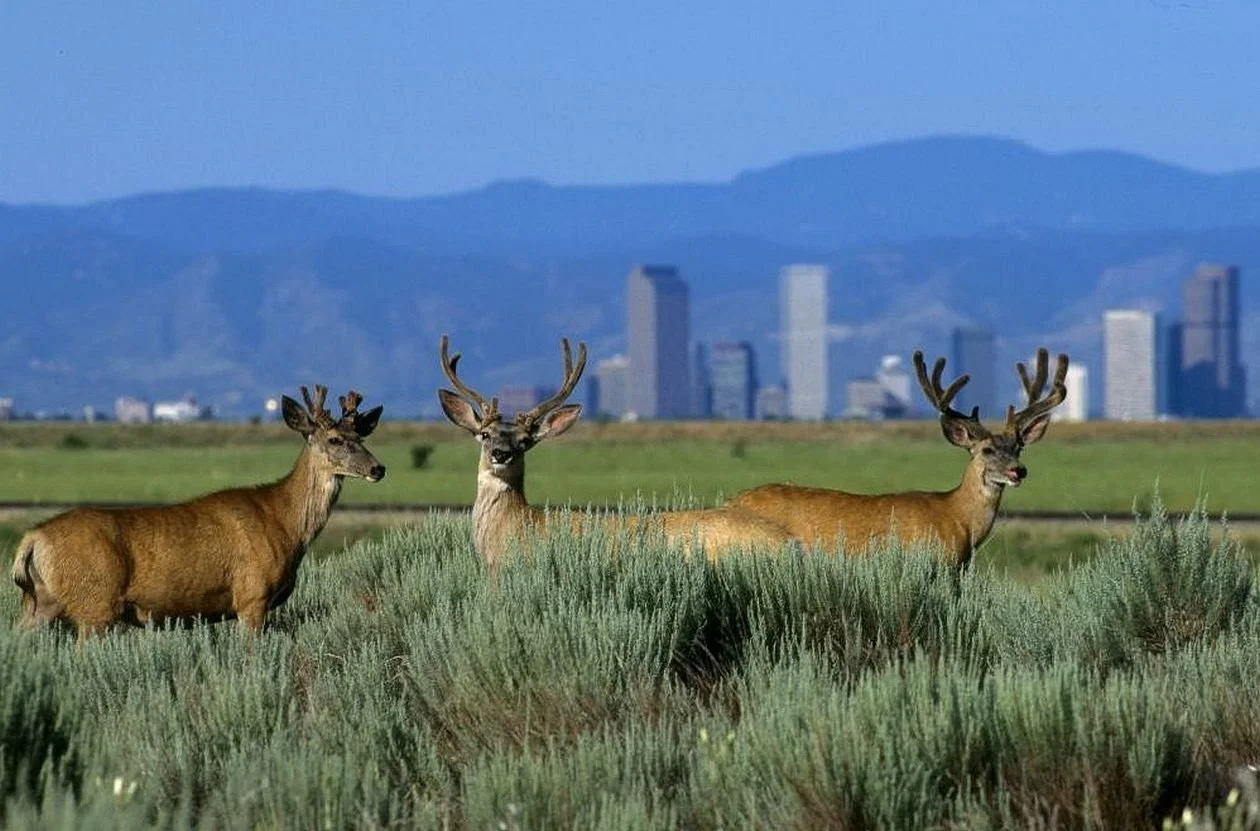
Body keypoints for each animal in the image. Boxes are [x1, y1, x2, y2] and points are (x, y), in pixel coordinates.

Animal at [11, 386, 385, 639]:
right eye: (335, 439)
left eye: (362, 436)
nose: (378, 468)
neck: (287, 524)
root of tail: (33, 539)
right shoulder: (251, 596)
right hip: (94, 603)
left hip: (40, 603)